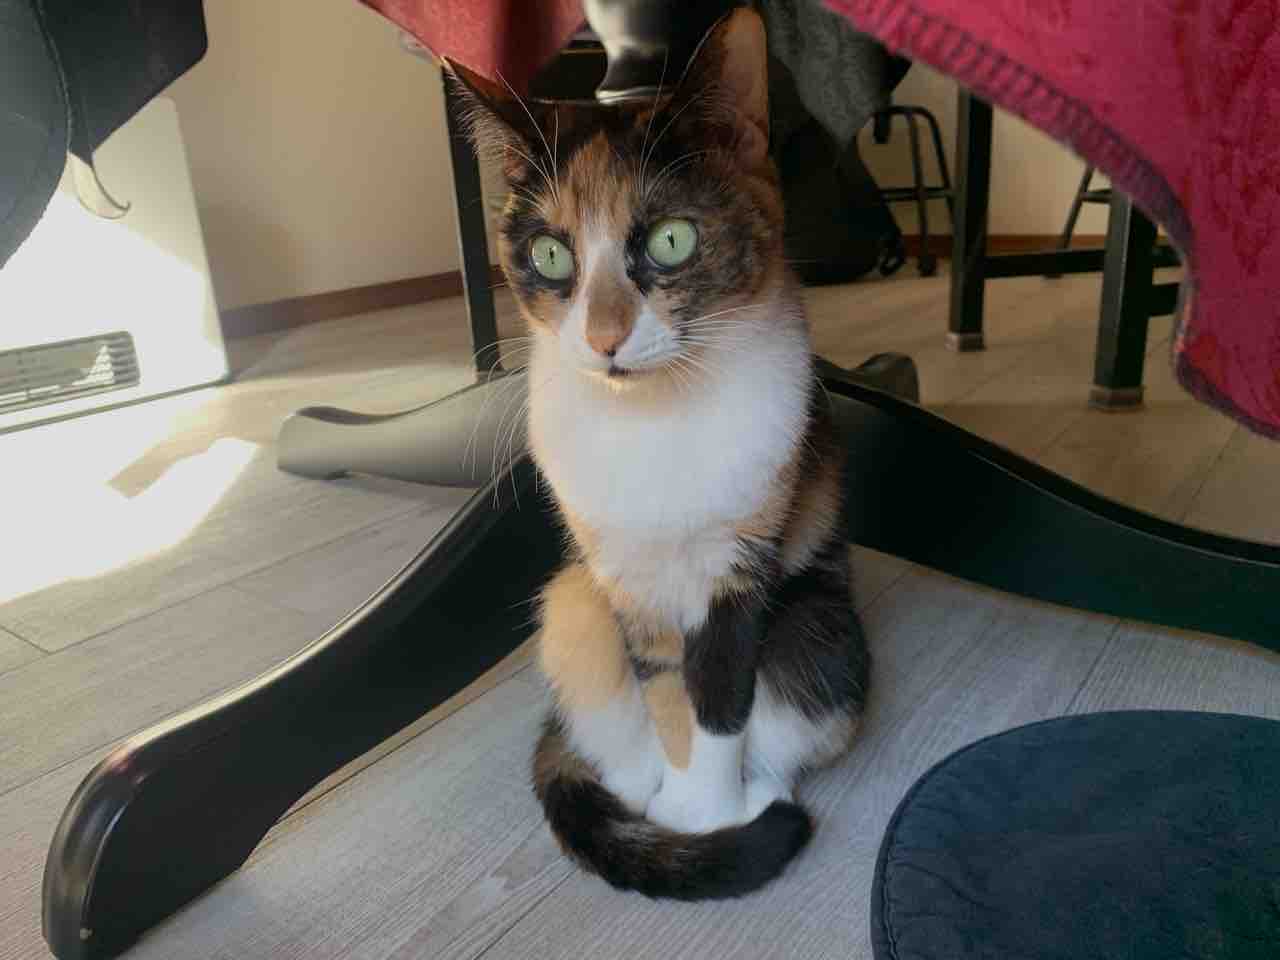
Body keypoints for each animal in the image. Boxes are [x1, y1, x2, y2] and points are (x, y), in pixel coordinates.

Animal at [450, 6, 869, 900]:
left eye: (672, 240)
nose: (605, 338)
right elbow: (665, 687)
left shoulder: (739, 563)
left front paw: (708, 817)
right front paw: (682, 814)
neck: (652, 420)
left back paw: (756, 800)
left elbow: (718, 695)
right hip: (570, 601)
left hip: (823, 629)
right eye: (549, 254)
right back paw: (638, 792)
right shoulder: (621, 577)